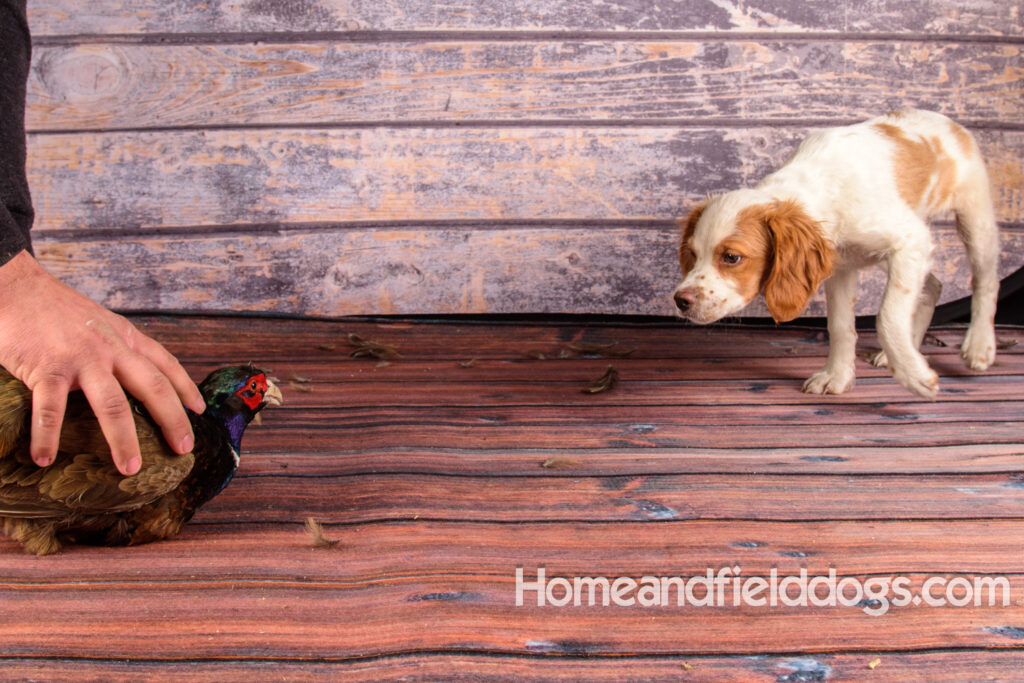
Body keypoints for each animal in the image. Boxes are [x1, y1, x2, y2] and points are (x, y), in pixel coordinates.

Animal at [671, 109, 999, 397]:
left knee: (985, 280)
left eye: (731, 257)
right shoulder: (841, 265)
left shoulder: (910, 240)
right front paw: (837, 377)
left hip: (974, 217)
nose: (680, 301)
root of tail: (949, 122)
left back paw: (979, 345)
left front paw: (914, 377)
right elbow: (840, 325)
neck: (824, 191)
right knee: (932, 285)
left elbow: (888, 315)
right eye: (693, 254)